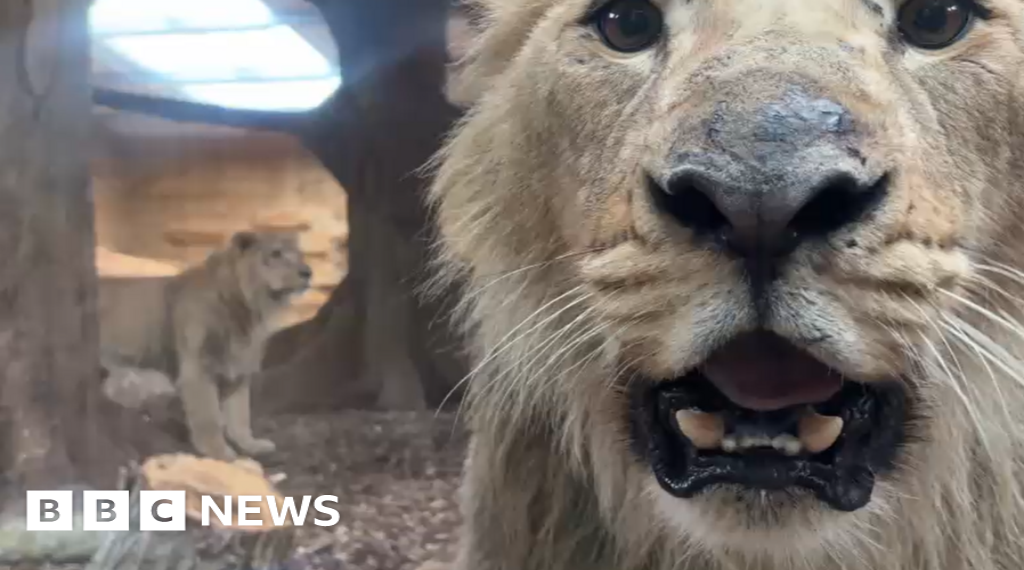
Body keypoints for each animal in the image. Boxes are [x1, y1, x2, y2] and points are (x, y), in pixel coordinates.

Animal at [97, 230, 312, 461]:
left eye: (300, 253)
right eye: (276, 253)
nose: (308, 272)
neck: (250, 311)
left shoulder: (237, 370)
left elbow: (240, 414)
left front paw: (250, 445)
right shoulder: (197, 370)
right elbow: (209, 417)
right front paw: (219, 453)